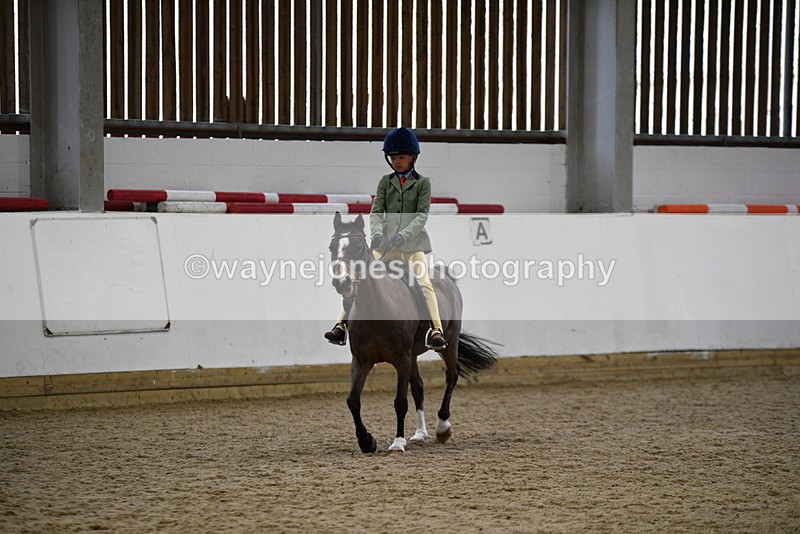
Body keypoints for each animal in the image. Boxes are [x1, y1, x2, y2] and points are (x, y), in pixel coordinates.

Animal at [328, 212, 500, 454]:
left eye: (358, 247)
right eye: (332, 248)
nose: (341, 283)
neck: (377, 307)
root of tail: (447, 277)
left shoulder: (402, 358)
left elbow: (400, 401)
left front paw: (397, 442)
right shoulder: (361, 360)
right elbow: (353, 400)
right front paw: (367, 441)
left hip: (448, 342)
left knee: (452, 375)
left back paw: (442, 427)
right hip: (414, 356)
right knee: (418, 386)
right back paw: (420, 434)